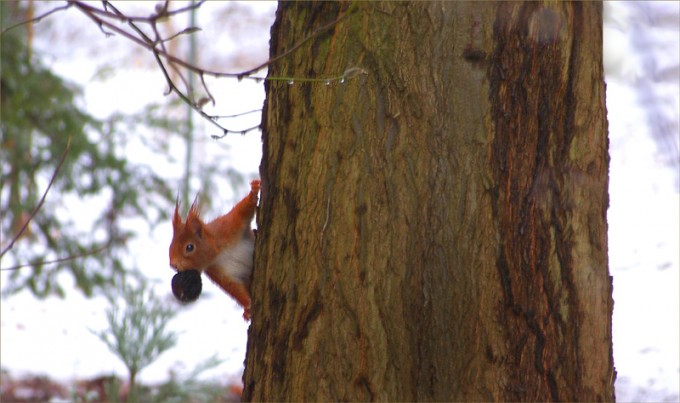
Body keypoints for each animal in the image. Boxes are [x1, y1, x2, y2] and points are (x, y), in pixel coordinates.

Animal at [169, 179, 260, 320]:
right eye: (170, 246)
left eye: (189, 247)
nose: (173, 264)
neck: (219, 252)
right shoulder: (217, 271)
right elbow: (234, 288)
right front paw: (247, 306)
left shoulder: (227, 226)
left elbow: (242, 211)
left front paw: (254, 190)